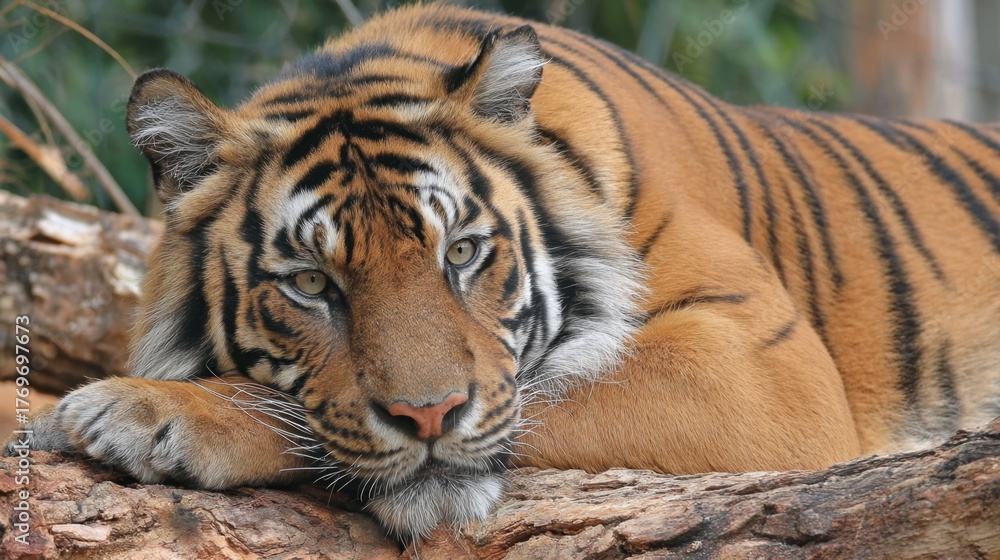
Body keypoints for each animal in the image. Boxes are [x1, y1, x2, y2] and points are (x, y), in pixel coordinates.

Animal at [8, 3, 1000, 540]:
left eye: (460, 254)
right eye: (311, 285)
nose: (429, 416)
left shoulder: (763, 361)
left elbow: (557, 388)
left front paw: (143, 411)